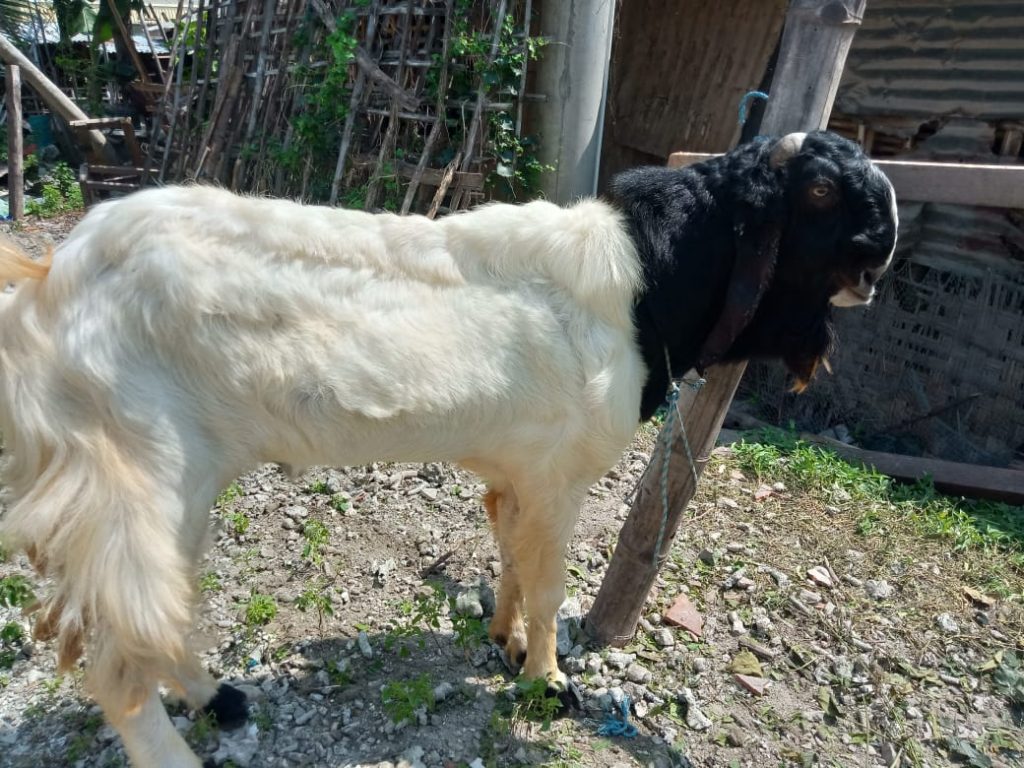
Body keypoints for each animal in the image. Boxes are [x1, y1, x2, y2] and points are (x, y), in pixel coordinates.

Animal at [0, 130, 896, 767]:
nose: (882, 248)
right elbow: (548, 583)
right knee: (118, 663)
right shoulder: (559, 475)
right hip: (135, 478)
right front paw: (549, 681)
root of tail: (50, 280)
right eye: (820, 190)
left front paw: (503, 641)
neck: (642, 281)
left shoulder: (516, 470)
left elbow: (509, 551)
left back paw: (217, 695)